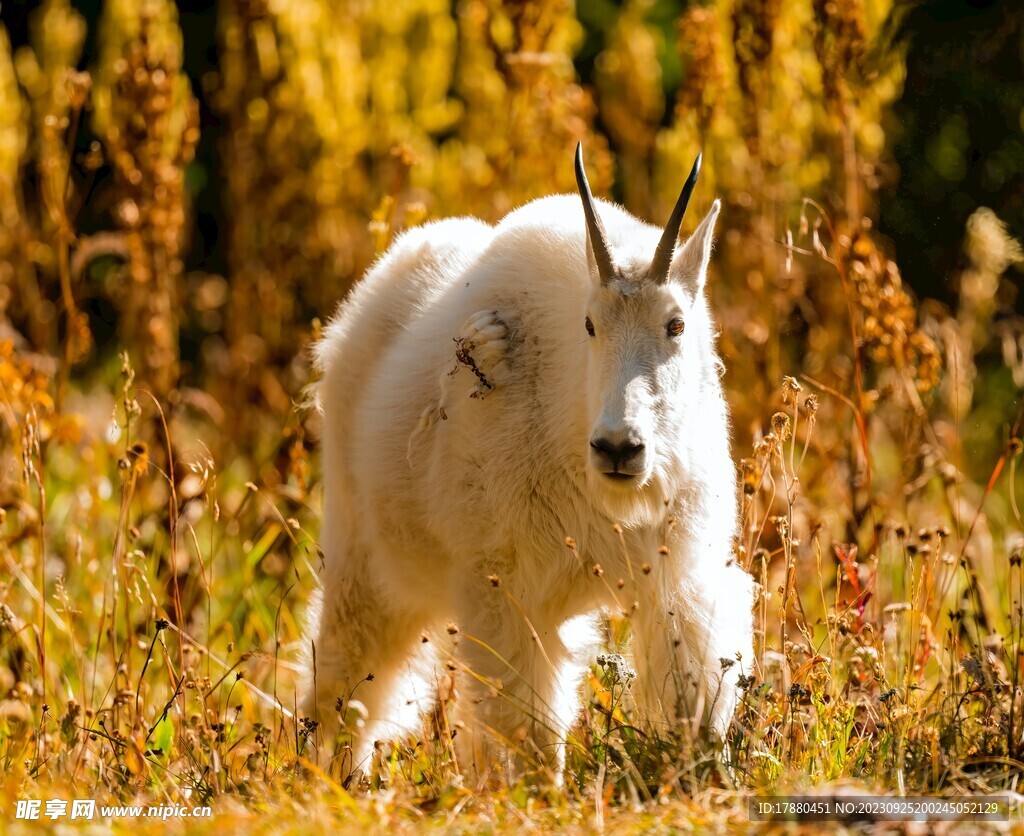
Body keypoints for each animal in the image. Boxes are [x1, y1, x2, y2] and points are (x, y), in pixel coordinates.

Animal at [299, 145, 757, 782]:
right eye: (589, 324)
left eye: (676, 324)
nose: (618, 448)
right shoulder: (505, 590)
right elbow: (532, 731)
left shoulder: (675, 576)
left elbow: (692, 695)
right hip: (363, 554)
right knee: (348, 671)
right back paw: (331, 773)